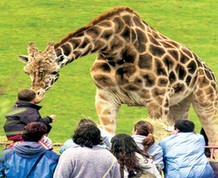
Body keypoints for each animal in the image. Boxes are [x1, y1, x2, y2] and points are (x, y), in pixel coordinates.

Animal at [18, 6, 218, 157]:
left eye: (53, 71)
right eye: (27, 71)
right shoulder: (105, 97)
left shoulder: (157, 99)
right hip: (180, 103)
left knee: (212, 136)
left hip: (206, 100)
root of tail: (208, 70)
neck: (115, 48)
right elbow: (108, 135)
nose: (36, 95)